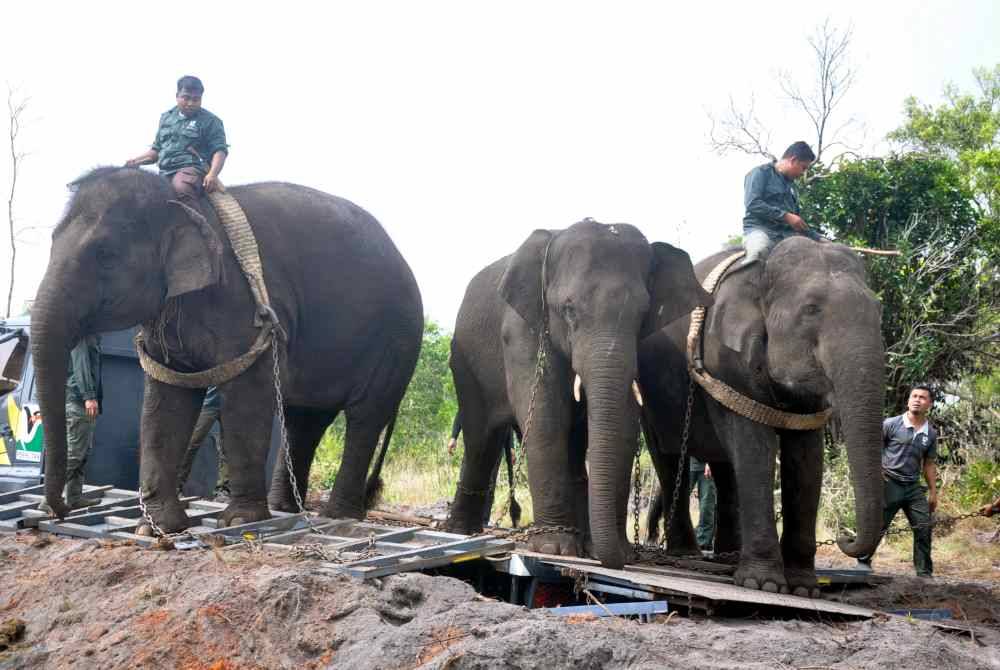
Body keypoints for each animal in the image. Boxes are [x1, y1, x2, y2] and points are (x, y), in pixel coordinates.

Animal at [32, 169, 422, 536]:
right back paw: (285, 509)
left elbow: (247, 393)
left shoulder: (247, 307)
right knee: (304, 418)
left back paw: (338, 516)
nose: (59, 511)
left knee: (364, 417)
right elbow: (166, 399)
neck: (185, 205)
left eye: (105, 254)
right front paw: (155, 528)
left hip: (395, 341)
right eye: (50, 243)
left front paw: (238, 521)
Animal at [446, 222, 712, 572]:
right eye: (569, 310)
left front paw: (609, 551)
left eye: (642, 314)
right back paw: (460, 533)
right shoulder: (521, 329)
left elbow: (624, 422)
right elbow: (546, 417)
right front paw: (554, 549)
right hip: (466, 367)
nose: (622, 558)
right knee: (480, 439)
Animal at [640, 238, 884, 600]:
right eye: (811, 309)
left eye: (879, 310)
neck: (762, 271)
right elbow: (755, 447)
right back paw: (687, 555)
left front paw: (804, 588)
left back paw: (728, 558)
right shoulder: (725, 361)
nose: (845, 537)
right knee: (669, 460)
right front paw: (765, 584)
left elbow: (806, 457)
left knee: (725, 470)